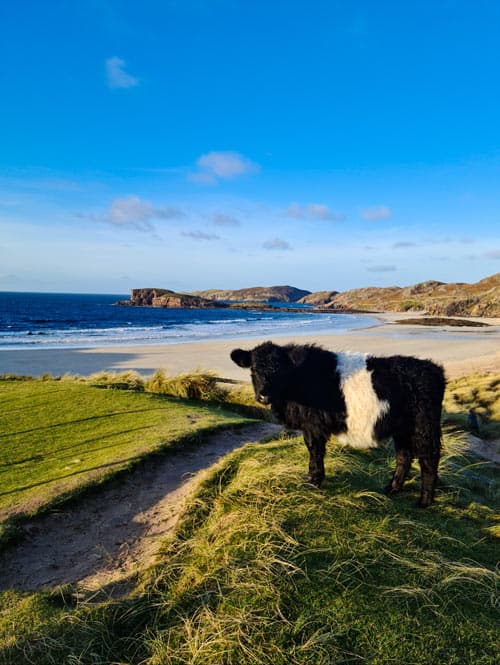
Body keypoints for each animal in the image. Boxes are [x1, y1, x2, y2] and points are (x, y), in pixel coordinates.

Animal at [230, 340, 446, 506]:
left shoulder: (313, 426)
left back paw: (424, 501)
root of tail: (434, 370)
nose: (263, 395)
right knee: (404, 456)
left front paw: (313, 481)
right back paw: (392, 488)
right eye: (254, 369)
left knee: (429, 459)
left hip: (424, 426)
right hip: (402, 429)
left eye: (279, 371)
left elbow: (315, 451)